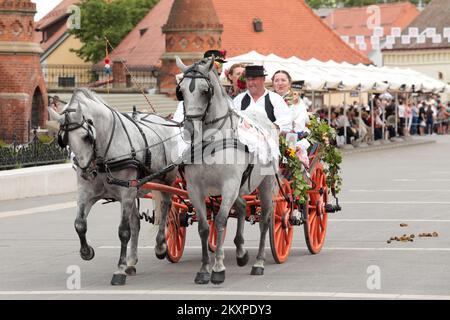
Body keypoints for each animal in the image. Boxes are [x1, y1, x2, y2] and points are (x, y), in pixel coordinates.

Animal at [47, 89, 178, 286]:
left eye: (86, 137)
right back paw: (132, 261)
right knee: (136, 222)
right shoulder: (87, 193)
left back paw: (161, 246)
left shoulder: (126, 193)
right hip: (135, 191)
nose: (86, 172)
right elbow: (79, 224)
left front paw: (120, 269)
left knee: (165, 209)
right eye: (64, 140)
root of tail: (166, 121)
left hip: (166, 182)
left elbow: (123, 232)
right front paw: (86, 251)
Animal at [175, 57, 278, 284]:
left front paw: (218, 268)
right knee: (241, 207)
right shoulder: (195, 189)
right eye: (181, 91)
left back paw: (259, 262)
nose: (189, 129)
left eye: (205, 91)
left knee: (265, 220)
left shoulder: (229, 184)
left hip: (265, 184)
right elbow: (204, 227)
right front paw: (204, 268)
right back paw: (241, 252)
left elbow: (221, 220)